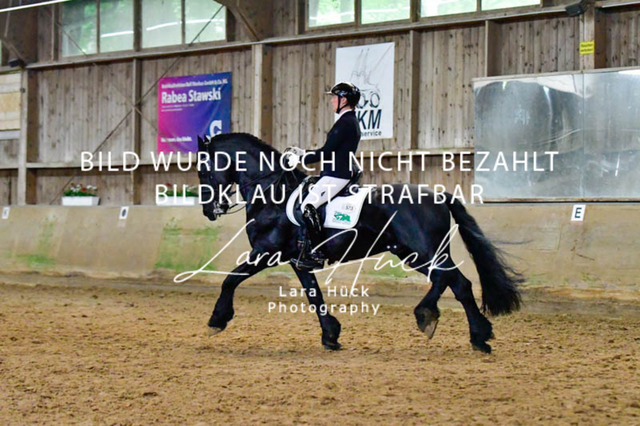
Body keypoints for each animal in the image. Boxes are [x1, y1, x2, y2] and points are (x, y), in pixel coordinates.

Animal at [196, 133, 522, 353]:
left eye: (203, 170)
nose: (208, 211)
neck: (271, 191)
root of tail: (439, 195)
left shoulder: (265, 252)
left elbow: (230, 279)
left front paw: (216, 320)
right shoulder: (297, 260)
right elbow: (314, 295)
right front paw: (331, 335)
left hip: (424, 251)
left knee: (456, 282)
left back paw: (452, 326)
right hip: (413, 253)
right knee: (452, 282)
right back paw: (468, 332)